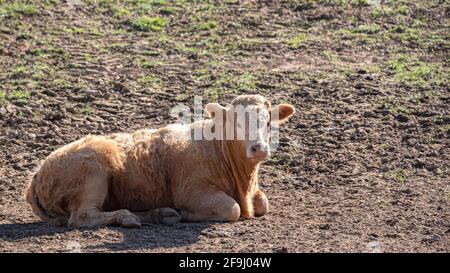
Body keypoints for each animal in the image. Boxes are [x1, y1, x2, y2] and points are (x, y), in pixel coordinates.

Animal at [27, 94, 296, 226]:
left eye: (269, 123)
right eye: (234, 123)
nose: (258, 148)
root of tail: (37, 175)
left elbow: (263, 203)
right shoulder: (191, 190)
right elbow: (232, 209)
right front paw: (186, 214)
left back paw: (158, 215)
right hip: (93, 172)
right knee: (82, 217)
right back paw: (128, 217)